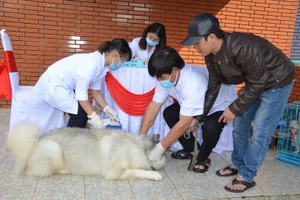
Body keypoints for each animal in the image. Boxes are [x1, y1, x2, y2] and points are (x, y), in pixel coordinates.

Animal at [7, 122, 166, 180]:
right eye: (163, 155)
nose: (165, 157)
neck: (137, 146)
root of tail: (35, 143)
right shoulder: (115, 172)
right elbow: (138, 170)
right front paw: (154, 174)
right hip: (54, 148)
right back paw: (64, 170)